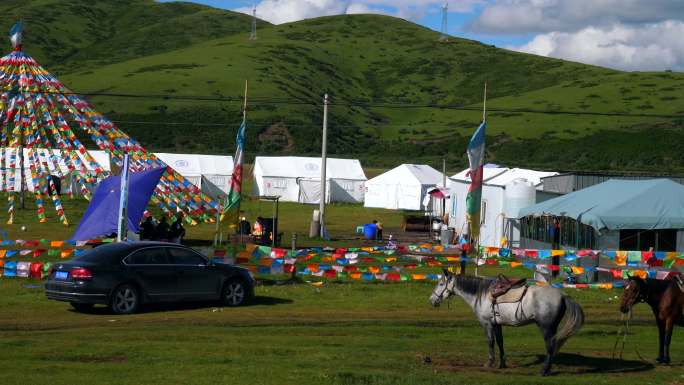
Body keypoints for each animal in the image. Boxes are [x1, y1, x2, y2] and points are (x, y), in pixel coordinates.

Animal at [428, 268, 584, 374]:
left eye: (441, 284)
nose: (432, 300)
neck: (481, 294)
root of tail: (562, 295)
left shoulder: (487, 324)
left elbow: (490, 342)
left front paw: (489, 363)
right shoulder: (497, 324)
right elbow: (500, 342)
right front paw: (502, 364)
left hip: (546, 327)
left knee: (550, 345)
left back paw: (544, 370)